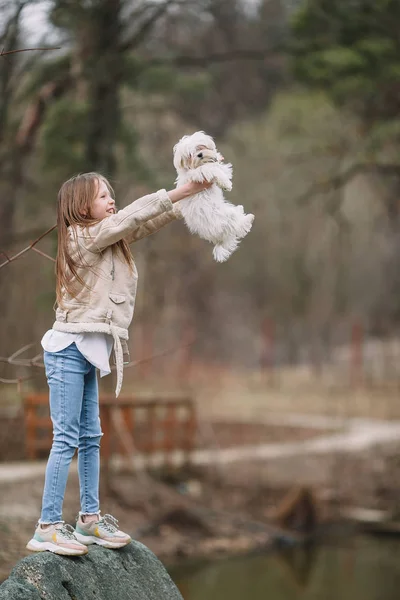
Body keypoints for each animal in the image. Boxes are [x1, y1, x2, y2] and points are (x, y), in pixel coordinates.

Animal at [173, 131, 255, 262]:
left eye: (200, 147)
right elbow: (212, 170)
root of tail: (219, 240)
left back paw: (240, 209)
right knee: (239, 227)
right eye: (190, 154)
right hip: (226, 219)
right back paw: (248, 218)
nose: (200, 155)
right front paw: (226, 184)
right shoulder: (199, 174)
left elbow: (220, 168)